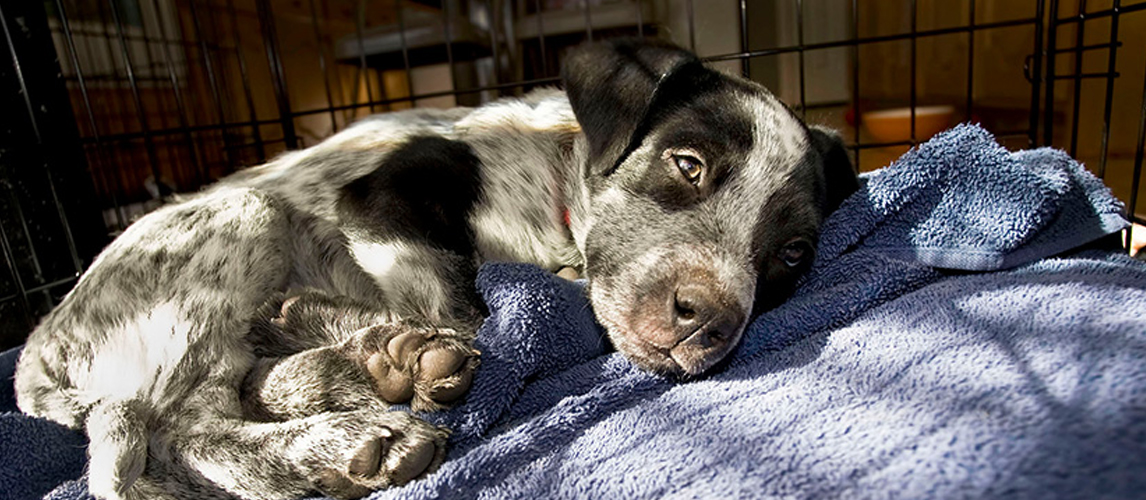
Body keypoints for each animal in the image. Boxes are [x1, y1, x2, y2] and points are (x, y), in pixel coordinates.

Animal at [11, 40, 861, 499]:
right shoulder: (385, 195)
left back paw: (345, 368)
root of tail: (35, 357)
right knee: (181, 434)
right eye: (688, 165)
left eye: (791, 255)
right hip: (238, 222)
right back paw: (353, 414)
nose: (710, 322)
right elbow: (460, 303)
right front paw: (421, 352)